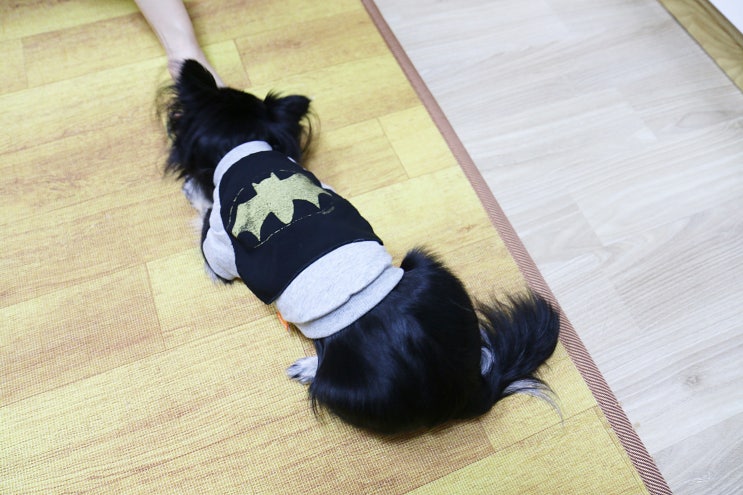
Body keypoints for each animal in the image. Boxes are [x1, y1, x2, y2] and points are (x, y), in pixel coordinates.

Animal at [158, 60, 560, 434]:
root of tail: (470, 392)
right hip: (428, 267)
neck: (243, 145)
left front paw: (193, 190)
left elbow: (206, 220)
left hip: (339, 387)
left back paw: (308, 368)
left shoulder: (218, 251)